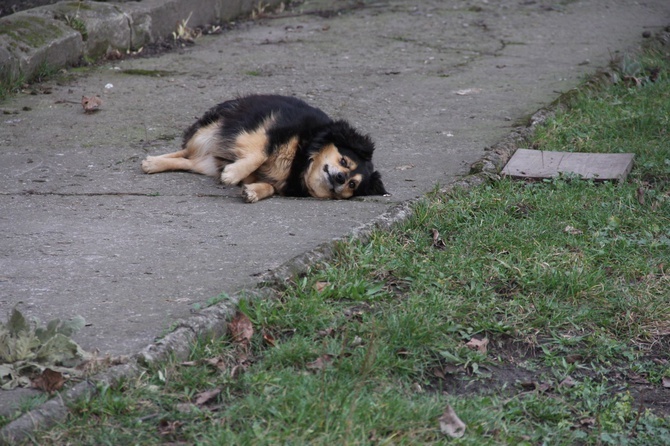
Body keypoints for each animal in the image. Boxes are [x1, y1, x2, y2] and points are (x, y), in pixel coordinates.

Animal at [140, 96, 388, 205]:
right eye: (344, 162)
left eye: (352, 185)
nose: (340, 178)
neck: (301, 159)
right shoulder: (266, 130)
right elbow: (260, 154)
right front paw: (233, 174)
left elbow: (269, 185)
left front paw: (254, 191)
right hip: (210, 132)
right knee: (185, 152)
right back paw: (152, 162)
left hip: (206, 161)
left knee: (187, 160)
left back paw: (154, 164)